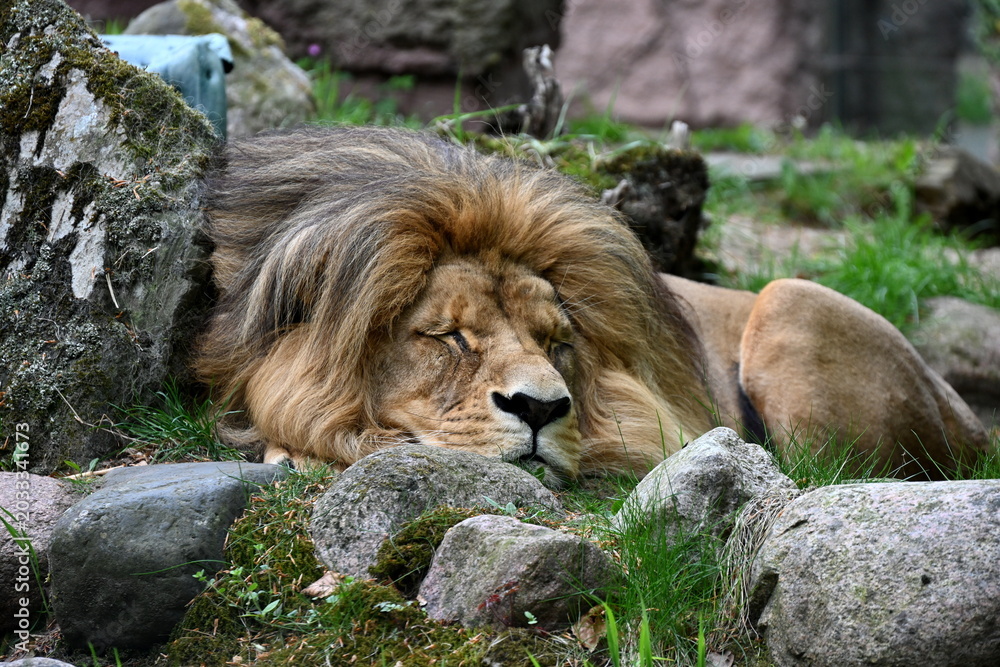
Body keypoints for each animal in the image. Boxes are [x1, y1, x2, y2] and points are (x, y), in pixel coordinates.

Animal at [196, 126, 989, 488]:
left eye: (557, 342)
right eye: (450, 337)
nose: (541, 408)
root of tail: (974, 418)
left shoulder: (645, 419)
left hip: (789, 300)